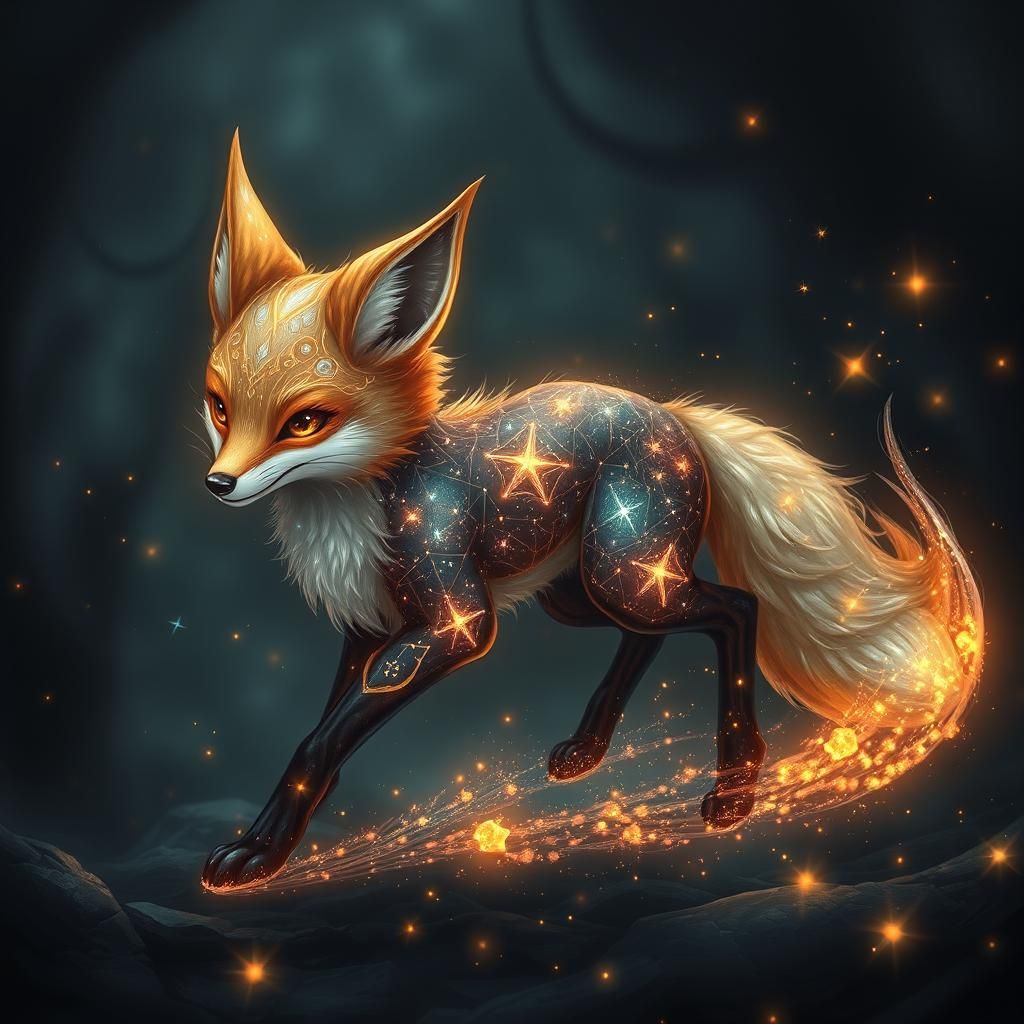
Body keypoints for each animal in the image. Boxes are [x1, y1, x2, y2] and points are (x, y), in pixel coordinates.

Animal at [199, 132, 982, 890]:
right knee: (651, 635)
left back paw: (735, 787)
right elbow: (322, 736)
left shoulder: (456, 620)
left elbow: (319, 740)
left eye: (305, 421)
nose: (216, 484)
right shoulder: (369, 627)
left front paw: (258, 856)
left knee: (738, 608)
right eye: (219, 406)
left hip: (624, 573)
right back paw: (590, 747)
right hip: (582, 590)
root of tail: (674, 414)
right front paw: (270, 842)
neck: (359, 503)